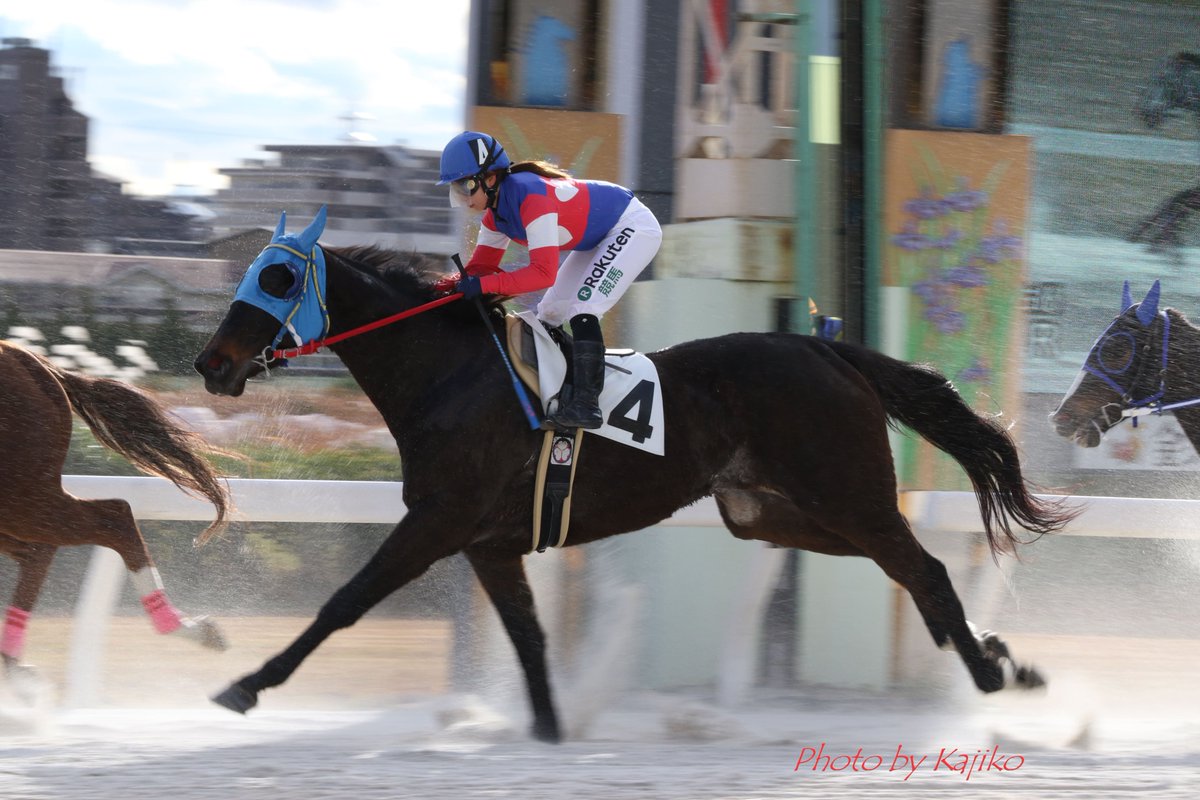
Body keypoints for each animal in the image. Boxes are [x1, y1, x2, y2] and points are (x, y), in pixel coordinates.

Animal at [0, 341, 233, 685]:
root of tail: (30, 359)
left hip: (21, 495)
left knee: (114, 517)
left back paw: (188, 628)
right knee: (39, 550)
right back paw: (14, 665)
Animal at [194, 208, 1076, 742]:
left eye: (276, 279)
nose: (211, 364)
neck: (449, 374)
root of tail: (829, 349)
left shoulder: (438, 522)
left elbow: (343, 602)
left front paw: (246, 685)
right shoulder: (488, 541)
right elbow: (528, 635)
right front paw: (551, 729)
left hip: (849, 493)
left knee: (922, 567)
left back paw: (989, 673)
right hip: (770, 511)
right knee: (905, 569)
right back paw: (996, 653)